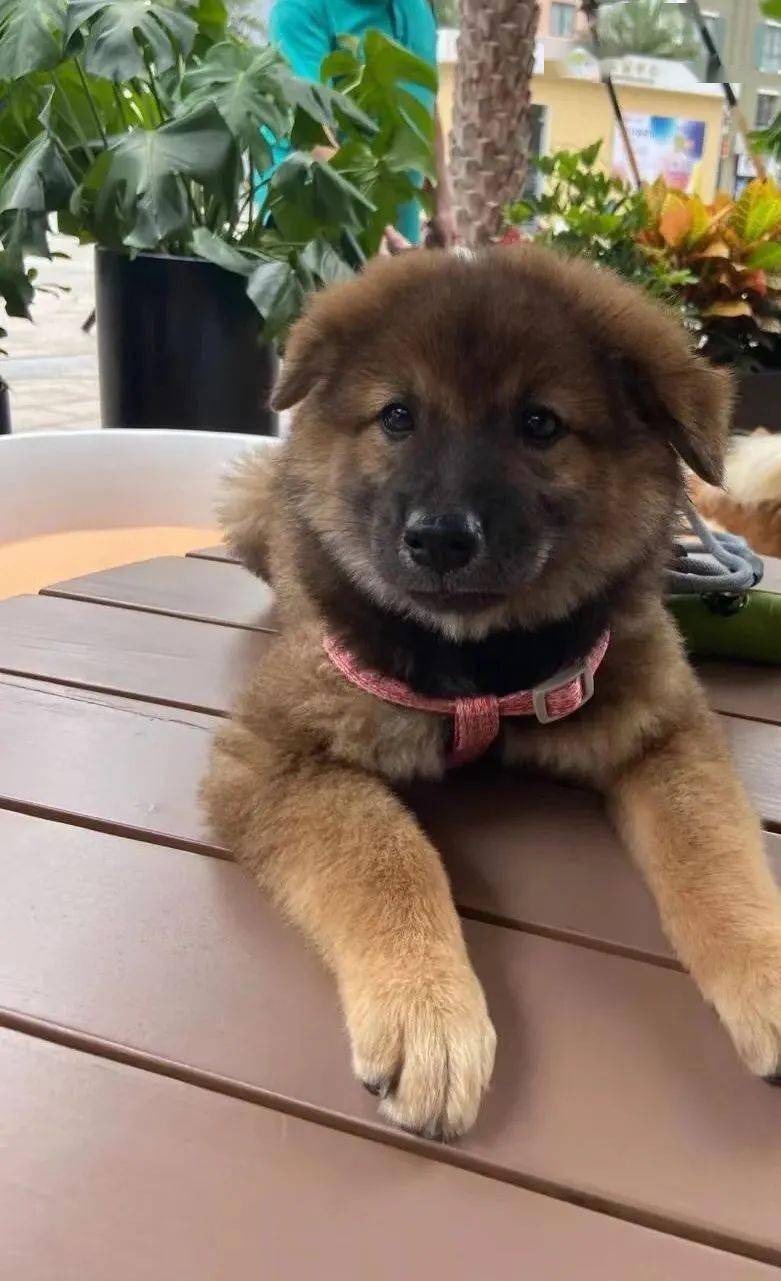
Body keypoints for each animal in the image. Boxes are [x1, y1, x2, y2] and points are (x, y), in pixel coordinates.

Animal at [203, 245, 781, 1140]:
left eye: (539, 424)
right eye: (397, 416)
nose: (440, 538)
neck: (482, 665)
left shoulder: (663, 724)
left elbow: (713, 852)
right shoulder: (271, 754)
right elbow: (385, 852)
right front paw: (427, 1011)